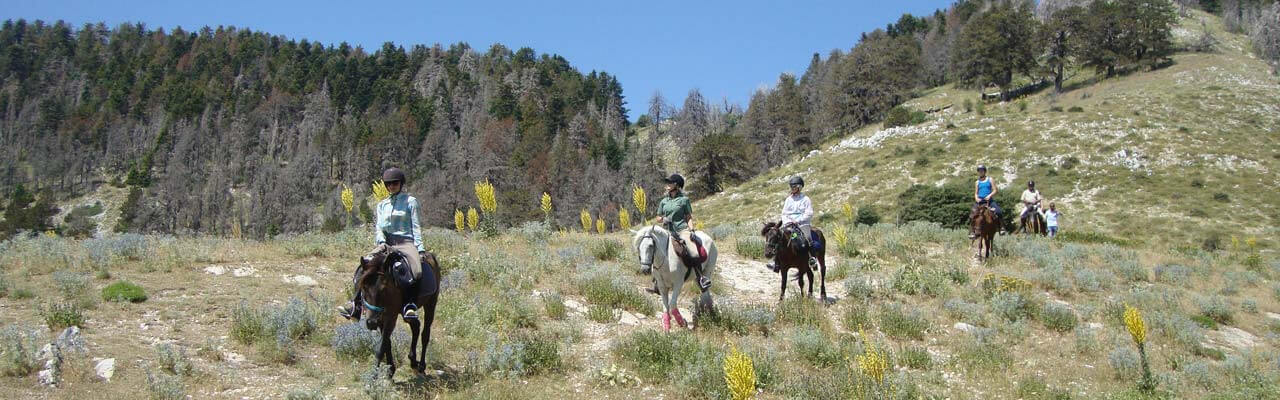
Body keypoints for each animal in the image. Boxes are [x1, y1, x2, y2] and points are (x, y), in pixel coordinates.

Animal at [353, 244, 442, 379]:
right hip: (406, 313)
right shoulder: (381, 318)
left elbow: (381, 346)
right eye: (363, 286)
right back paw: (413, 361)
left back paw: (421, 366)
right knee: (416, 327)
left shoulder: (391, 317)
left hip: (431, 303)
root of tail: (430, 256)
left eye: (383, 289)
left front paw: (373, 377)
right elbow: (387, 344)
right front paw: (390, 370)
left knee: (425, 334)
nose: (371, 323)